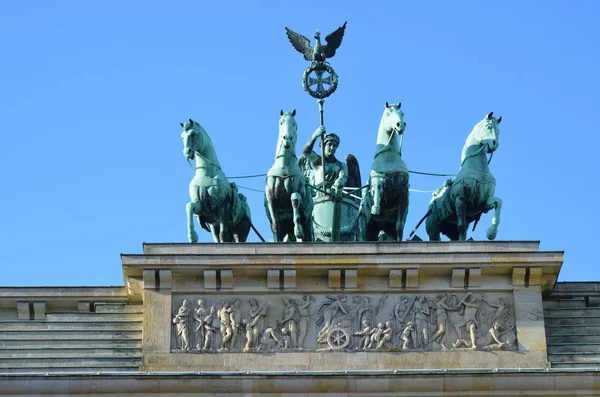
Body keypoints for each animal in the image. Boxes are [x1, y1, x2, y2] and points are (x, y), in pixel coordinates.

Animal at [266, 109, 316, 241]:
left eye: (294, 124)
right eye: (281, 122)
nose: (287, 138)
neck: (284, 167)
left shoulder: (299, 192)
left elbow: (295, 199)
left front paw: (298, 230)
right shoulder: (270, 197)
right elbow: (275, 224)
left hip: (308, 222)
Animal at [358, 102, 410, 240]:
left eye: (402, 113)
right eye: (388, 114)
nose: (400, 125)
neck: (389, 158)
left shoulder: (403, 192)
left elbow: (399, 225)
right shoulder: (378, 181)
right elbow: (377, 190)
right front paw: (375, 208)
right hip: (366, 226)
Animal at [424, 112, 504, 241]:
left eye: (499, 131)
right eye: (488, 127)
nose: (494, 144)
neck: (478, 169)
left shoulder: (483, 203)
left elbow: (499, 202)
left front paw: (491, 233)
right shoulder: (460, 199)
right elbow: (460, 227)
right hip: (433, 227)